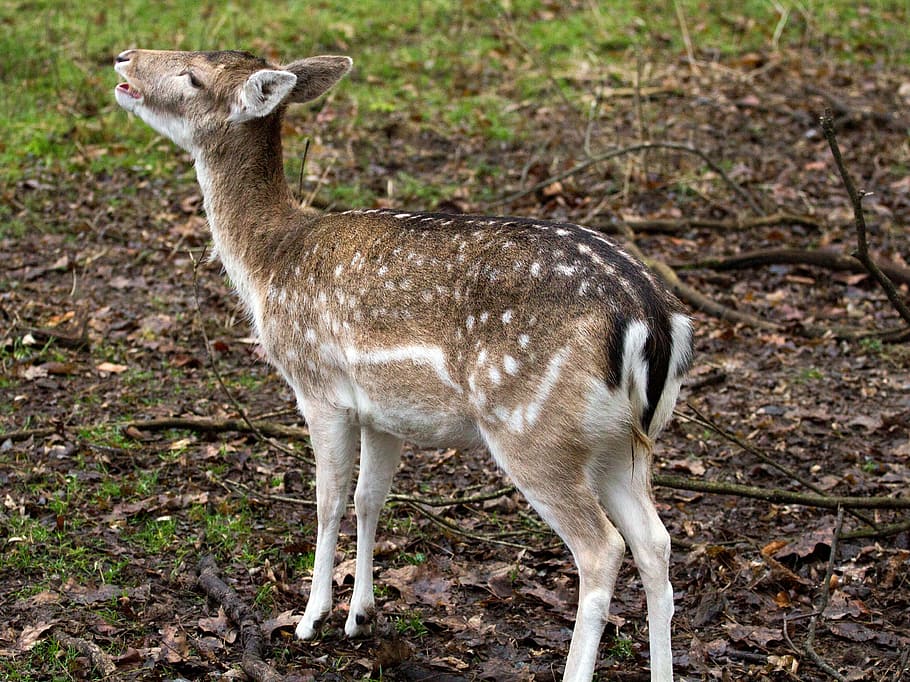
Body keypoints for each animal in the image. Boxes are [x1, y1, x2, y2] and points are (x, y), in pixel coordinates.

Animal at [114, 48, 692, 681]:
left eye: (193, 75)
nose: (124, 57)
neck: (267, 265)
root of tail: (654, 324)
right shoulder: (384, 413)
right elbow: (370, 499)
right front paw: (360, 616)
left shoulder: (318, 388)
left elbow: (328, 500)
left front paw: (311, 618)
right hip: (620, 442)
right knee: (656, 543)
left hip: (533, 430)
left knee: (602, 549)